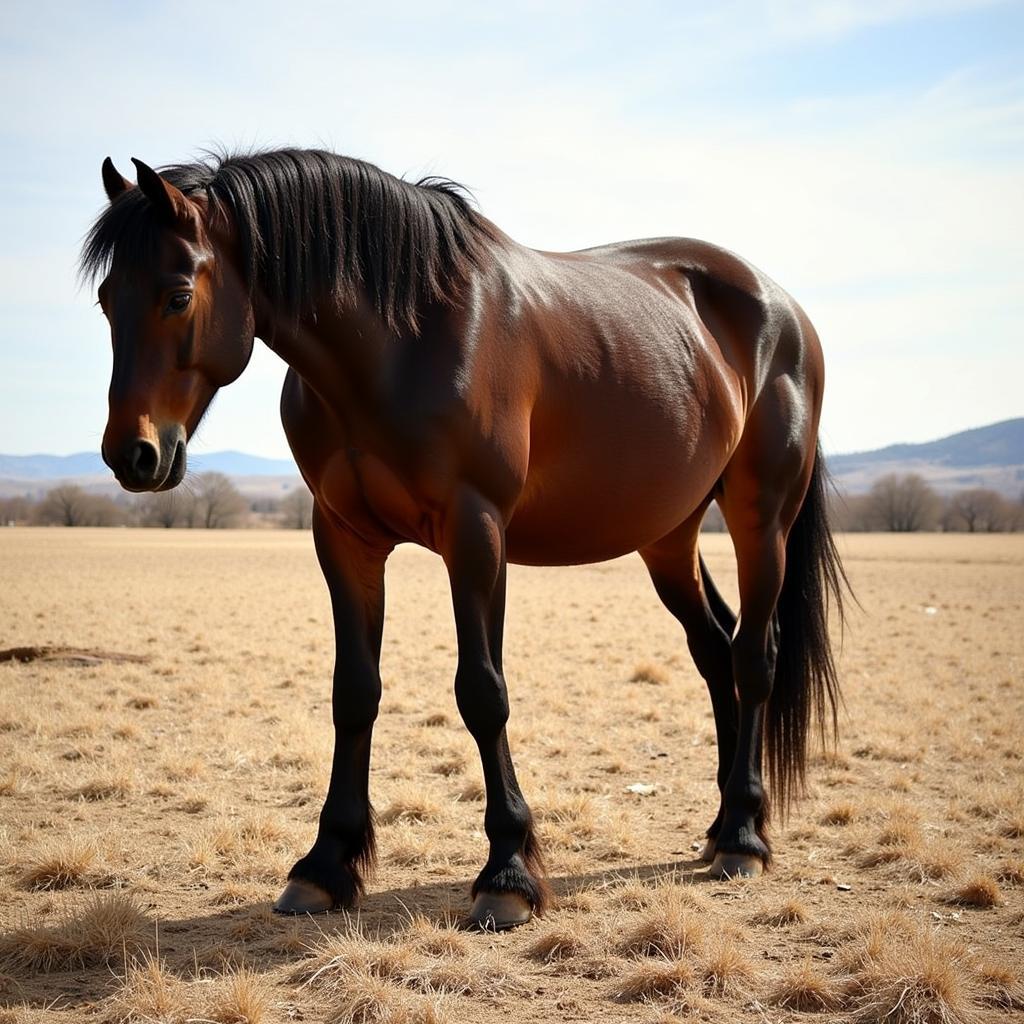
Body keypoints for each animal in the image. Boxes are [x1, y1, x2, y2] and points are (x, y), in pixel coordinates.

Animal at [81, 149, 847, 929]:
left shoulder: (475, 532)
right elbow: (353, 692)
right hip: (668, 535)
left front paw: (507, 872)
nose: (132, 455)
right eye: (108, 298)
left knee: (754, 656)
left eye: (177, 295)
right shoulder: (344, 537)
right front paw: (325, 866)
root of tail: (781, 307)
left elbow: (482, 691)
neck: (400, 341)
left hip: (761, 519)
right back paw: (723, 825)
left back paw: (745, 837)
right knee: (715, 648)